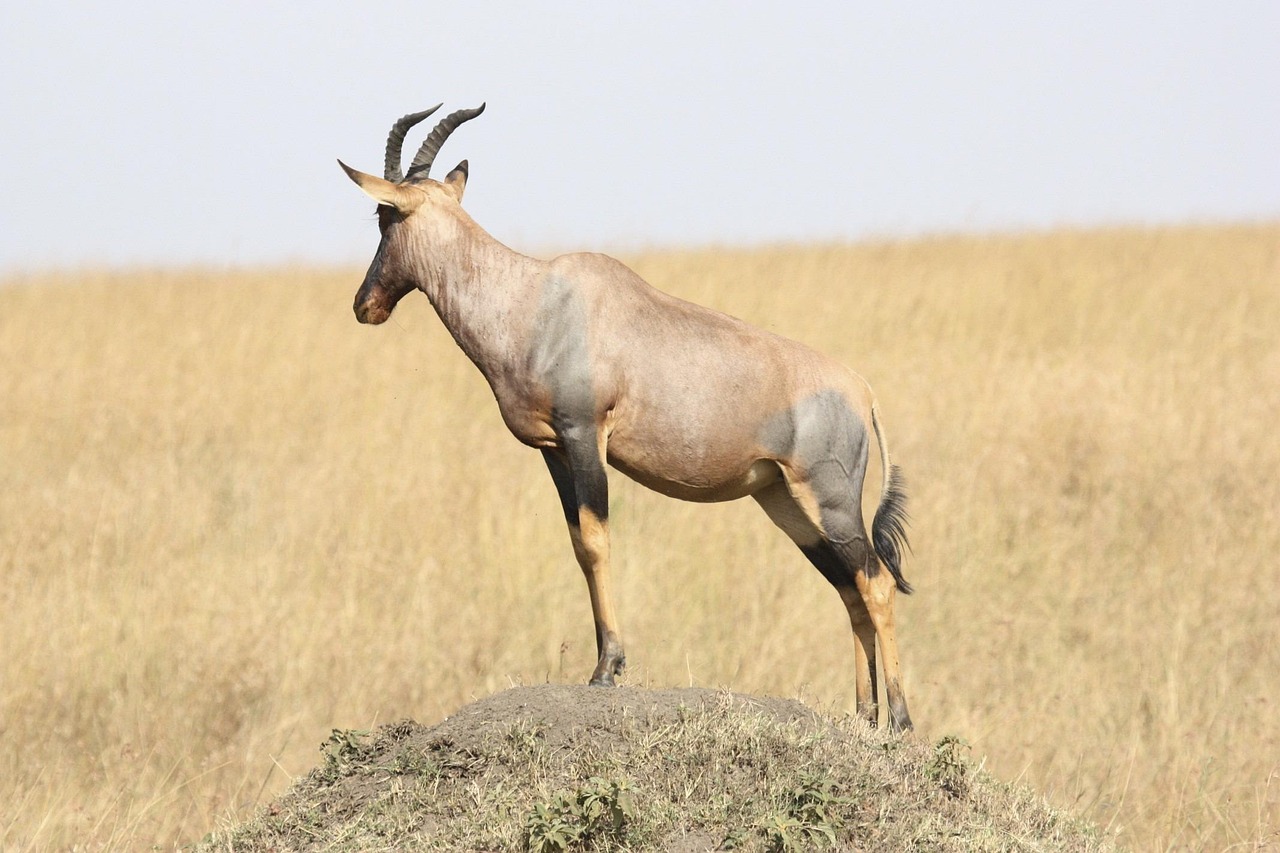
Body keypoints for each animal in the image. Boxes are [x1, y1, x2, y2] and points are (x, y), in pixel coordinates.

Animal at [340, 103, 916, 727]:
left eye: (383, 214)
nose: (365, 304)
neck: (534, 299)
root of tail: (862, 391)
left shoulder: (584, 434)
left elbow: (597, 541)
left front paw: (606, 669)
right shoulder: (554, 450)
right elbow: (578, 545)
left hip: (830, 500)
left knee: (876, 584)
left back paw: (900, 721)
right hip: (786, 502)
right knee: (849, 589)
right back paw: (863, 718)